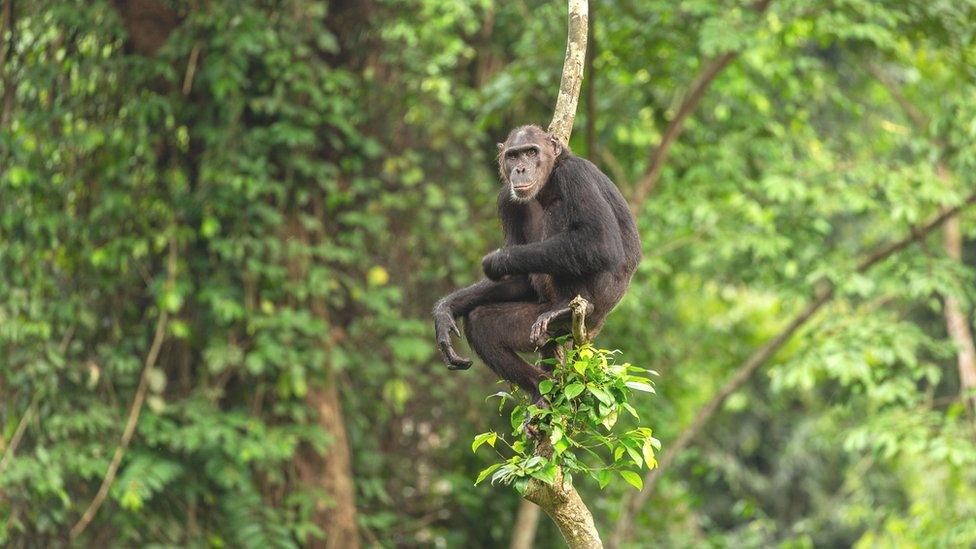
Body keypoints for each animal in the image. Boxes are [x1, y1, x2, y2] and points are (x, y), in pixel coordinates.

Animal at [434, 124, 640, 402]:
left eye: (531, 152)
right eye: (513, 156)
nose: (521, 168)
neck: (548, 182)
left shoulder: (575, 175)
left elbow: (600, 241)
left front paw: (498, 260)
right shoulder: (506, 200)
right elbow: (518, 281)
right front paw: (446, 309)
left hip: (593, 310)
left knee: (561, 211)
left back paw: (566, 308)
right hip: (536, 321)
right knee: (481, 323)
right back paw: (541, 390)